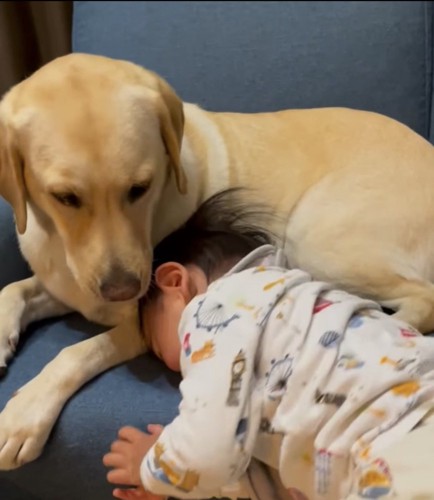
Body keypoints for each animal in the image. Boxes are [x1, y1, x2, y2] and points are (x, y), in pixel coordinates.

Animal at [0, 51, 434, 468]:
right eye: (65, 198)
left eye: (140, 187)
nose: (123, 290)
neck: (62, 246)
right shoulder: (68, 285)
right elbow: (14, 290)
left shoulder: (139, 323)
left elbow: (77, 352)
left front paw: (24, 415)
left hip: (316, 236)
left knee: (421, 300)